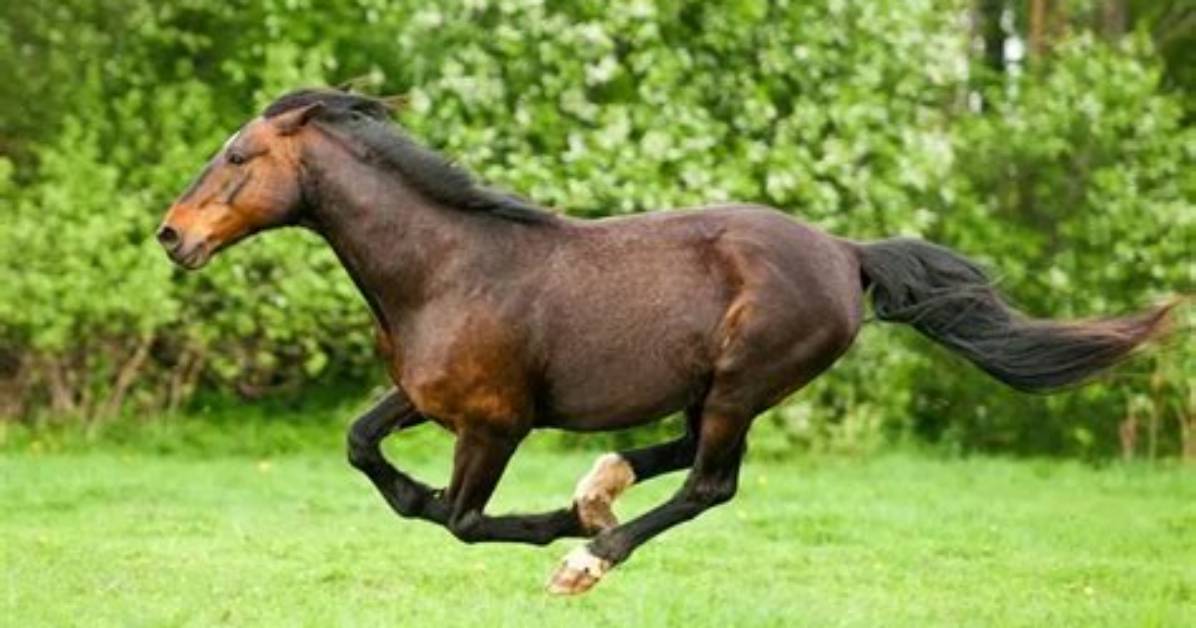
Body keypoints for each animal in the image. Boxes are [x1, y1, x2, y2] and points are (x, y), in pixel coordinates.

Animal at [156, 88, 1173, 595]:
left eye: (238, 157)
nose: (172, 236)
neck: (446, 267)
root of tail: (847, 254)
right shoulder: (427, 397)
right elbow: (363, 445)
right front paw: (537, 506)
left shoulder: (495, 422)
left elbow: (461, 519)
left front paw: (562, 535)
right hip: (716, 388)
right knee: (683, 456)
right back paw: (599, 488)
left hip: (744, 382)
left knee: (709, 484)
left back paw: (589, 553)